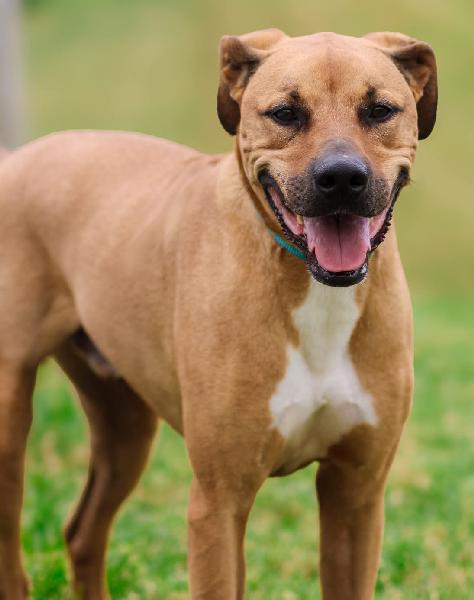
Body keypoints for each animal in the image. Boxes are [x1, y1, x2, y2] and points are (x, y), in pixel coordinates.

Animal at [0, 29, 436, 599]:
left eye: (380, 109)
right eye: (285, 114)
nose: (342, 177)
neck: (312, 288)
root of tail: (20, 157)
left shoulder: (357, 494)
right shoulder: (219, 500)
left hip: (125, 426)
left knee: (82, 532)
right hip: (10, 420)